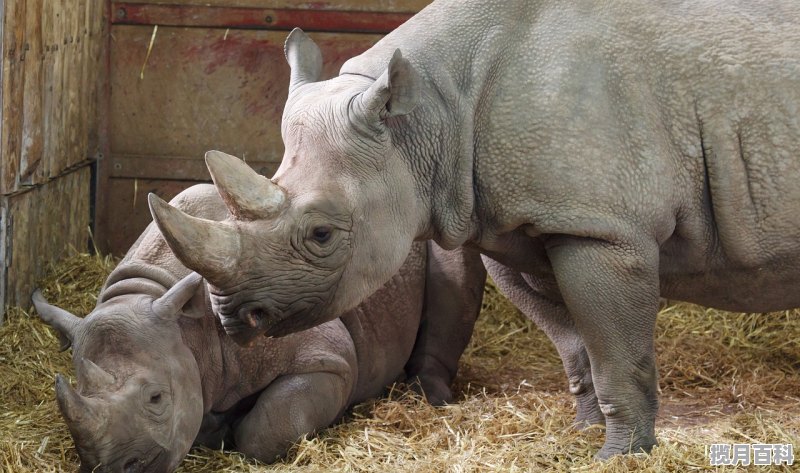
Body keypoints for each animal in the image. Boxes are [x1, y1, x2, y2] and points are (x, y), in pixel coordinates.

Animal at [34, 183, 484, 472]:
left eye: (157, 398)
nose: (112, 468)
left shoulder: (327, 358)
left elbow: (265, 429)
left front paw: (232, 432)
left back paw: (430, 398)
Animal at [148, 0, 800, 460]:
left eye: (322, 236)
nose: (233, 318)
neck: (428, 117)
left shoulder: (604, 229)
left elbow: (617, 350)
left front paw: (620, 455)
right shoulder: (522, 221)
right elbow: (574, 342)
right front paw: (581, 433)